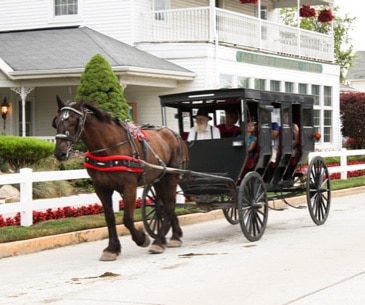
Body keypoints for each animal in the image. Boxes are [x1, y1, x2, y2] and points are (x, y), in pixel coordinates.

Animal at [52, 96, 189, 260]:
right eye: (56, 122)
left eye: (73, 121)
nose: (60, 153)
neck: (110, 147)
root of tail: (174, 134)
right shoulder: (101, 187)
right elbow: (110, 218)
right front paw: (112, 248)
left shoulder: (129, 186)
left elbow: (127, 219)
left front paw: (141, 238)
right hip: (159, 178)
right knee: (166, 204)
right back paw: (173, 236)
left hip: (171, 176)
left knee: (169, 205)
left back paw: (159, 241)